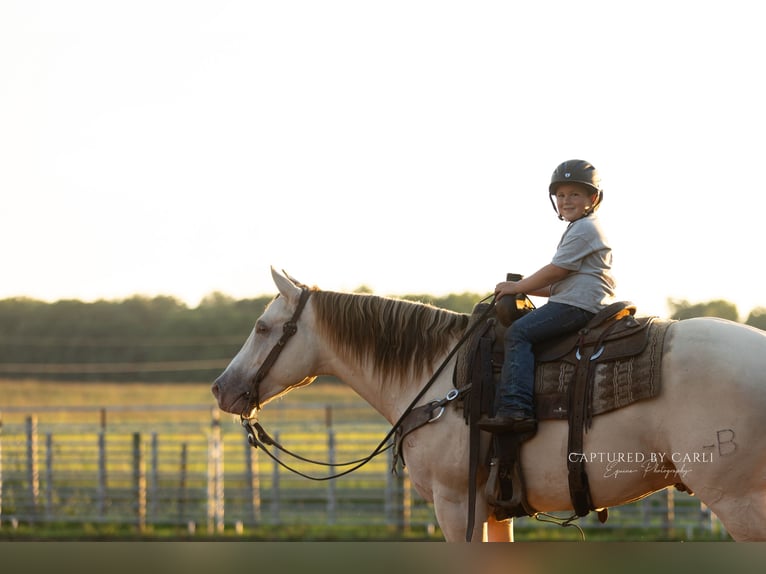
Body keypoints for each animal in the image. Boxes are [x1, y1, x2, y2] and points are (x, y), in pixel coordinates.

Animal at [211, 268, 766, 541]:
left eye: (262, 327)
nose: (220, 388)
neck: (438, 381)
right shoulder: (496, 510)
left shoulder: (456, 504)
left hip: (741, 504)